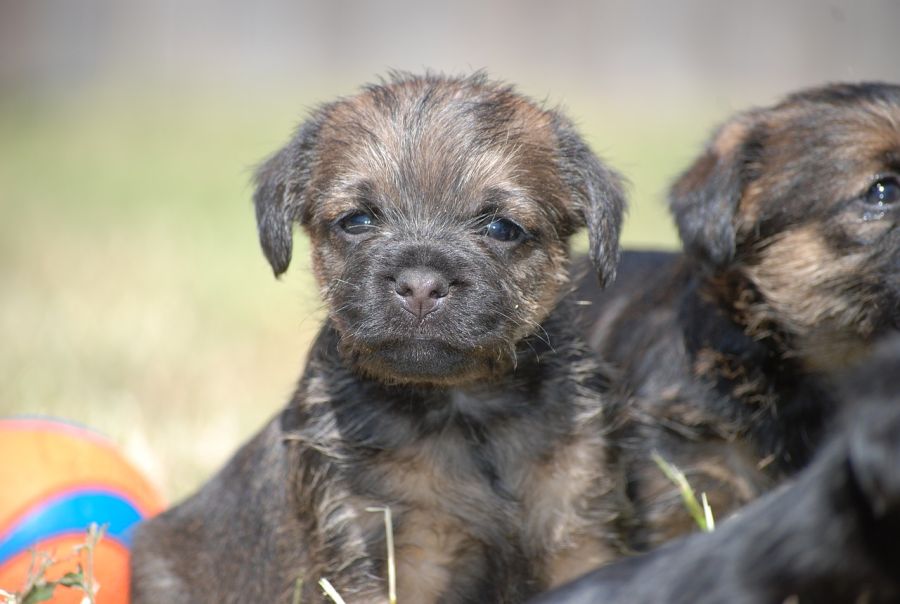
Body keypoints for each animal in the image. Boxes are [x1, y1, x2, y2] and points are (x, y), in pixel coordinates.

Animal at [132, 74, 632, 604]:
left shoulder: (578, 529)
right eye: (357, 220)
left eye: (502, 228)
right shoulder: (386, 551)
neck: (464, 411)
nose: (421, 284)